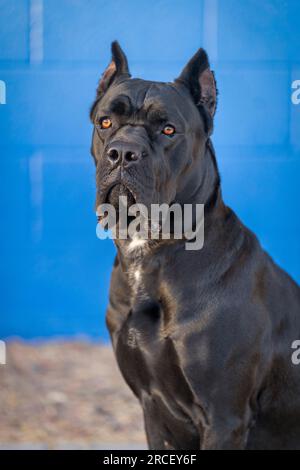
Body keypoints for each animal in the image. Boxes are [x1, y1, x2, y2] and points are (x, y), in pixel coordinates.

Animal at [90, 42, 300, 450]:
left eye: (168, 130)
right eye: (105, 123)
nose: (122, 152)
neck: (152, 254)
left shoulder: (224, 417)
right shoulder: (154, 408)